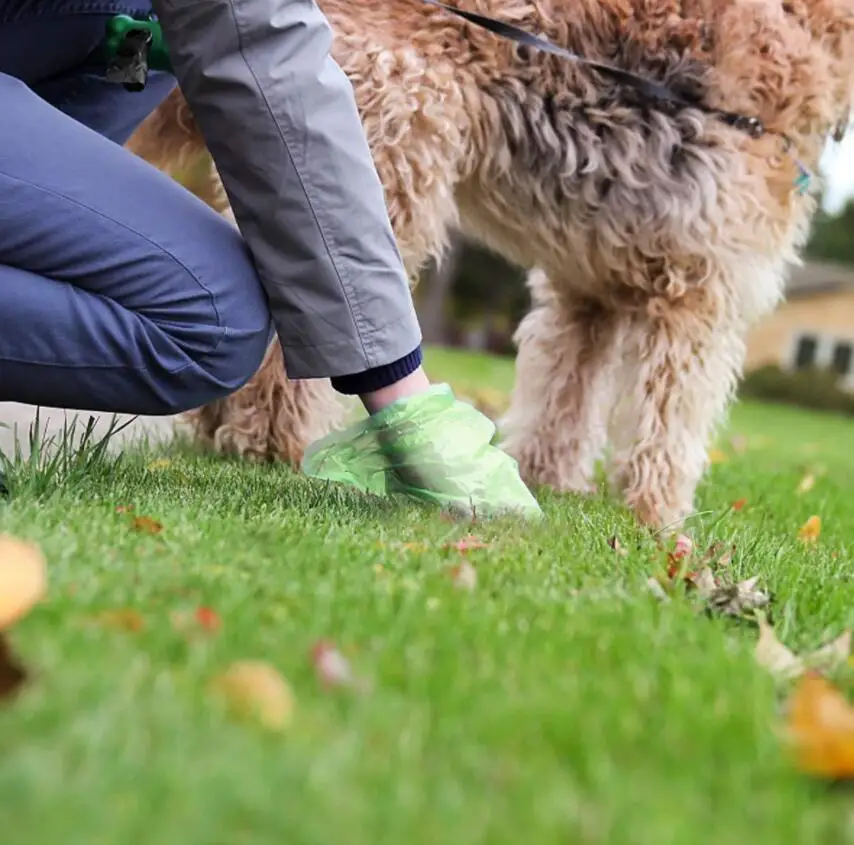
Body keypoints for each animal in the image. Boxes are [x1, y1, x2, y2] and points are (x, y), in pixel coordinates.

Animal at [129, 1, 854, 528]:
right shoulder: (701, 293)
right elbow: (672, 421)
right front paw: (661, 516)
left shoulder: (589, 292)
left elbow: (564, 400)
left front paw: (551, 481)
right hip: (382, 164)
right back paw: (269, 440)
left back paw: (224, 430)